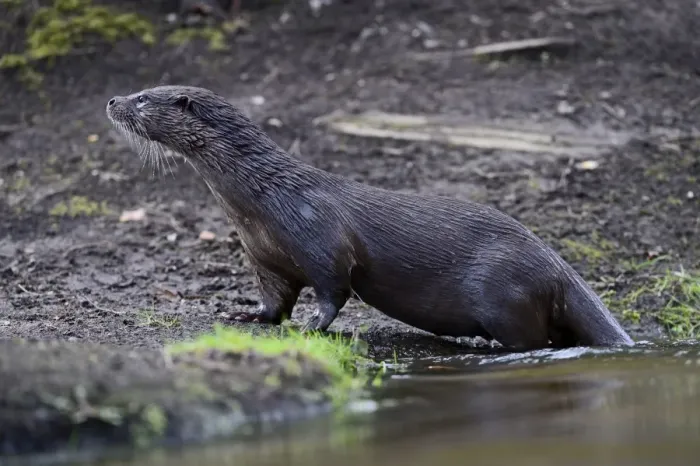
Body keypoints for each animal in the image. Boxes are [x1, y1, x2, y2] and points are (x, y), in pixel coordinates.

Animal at [106, 85, 634, 350]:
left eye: (144, 97)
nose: (111, 99)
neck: (263, 201)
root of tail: (558, 267)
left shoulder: (321, 241)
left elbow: (332, 292)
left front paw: (311, 327)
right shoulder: (265, 260)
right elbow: (274, 301)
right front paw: (244, 313)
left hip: (503, 290)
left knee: (535, 341)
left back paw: (482, 344)